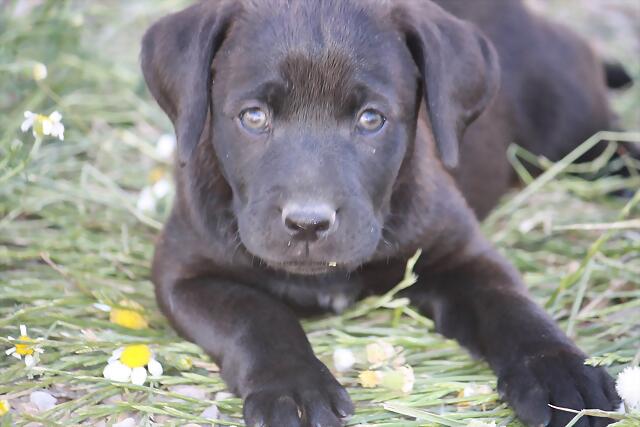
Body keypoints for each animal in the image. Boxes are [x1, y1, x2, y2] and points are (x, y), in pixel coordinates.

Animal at [140, 0, 632, 427]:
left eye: (371, 119)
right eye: (254, 117)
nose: (308, 223)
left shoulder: (463, 253)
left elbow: (512, 307)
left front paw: (562, 372)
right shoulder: (184, 273)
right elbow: (255, 314)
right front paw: (295, 388)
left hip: (573, 127)